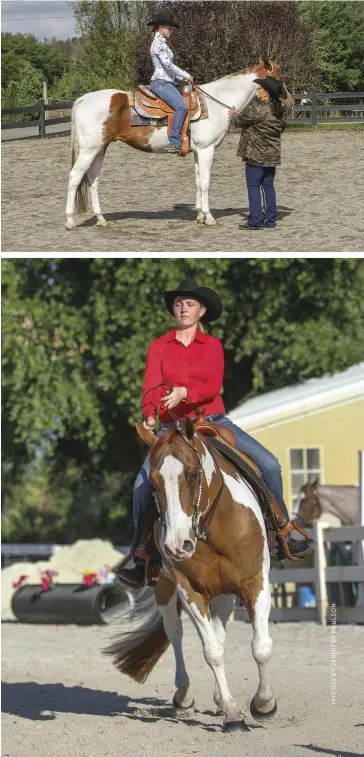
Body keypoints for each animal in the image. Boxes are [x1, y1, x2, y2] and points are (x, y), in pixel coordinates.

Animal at [66, 56, 288, 230]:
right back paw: (70, 221)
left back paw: (101, 219)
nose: (289, 101)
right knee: (75, 177)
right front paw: (209, 217)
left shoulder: (198, 151)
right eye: (279, 78)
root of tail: (82, 100)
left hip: (99, 149)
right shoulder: (206, 150)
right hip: (89, 150)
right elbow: (205, 182)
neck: (215, 103)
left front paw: (199, 215)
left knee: (93, 180)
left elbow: (198, 181)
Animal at [106, 416, 278, 728]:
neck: (212, 530)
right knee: (176, 634)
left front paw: (264, 704)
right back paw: (184, 697)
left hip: (225, 595)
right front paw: (233, 713)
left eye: (194, 474)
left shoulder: (255, 582)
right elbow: (212, 651)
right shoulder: (190, 591)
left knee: (219, 631)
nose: (177, 545)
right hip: (165, 589)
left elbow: (260, 646)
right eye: (153, 482)